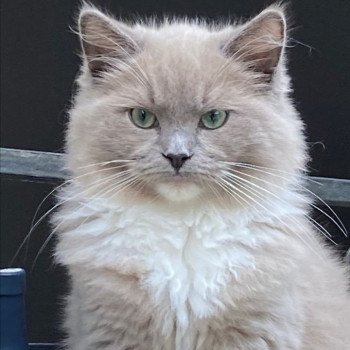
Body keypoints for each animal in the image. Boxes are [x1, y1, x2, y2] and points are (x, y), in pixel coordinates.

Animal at [52, 3, 350, 350]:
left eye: (213, 119)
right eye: (142, 117)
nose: (177, 156)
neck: (184, 226)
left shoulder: (255, 331)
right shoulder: (112, 330)